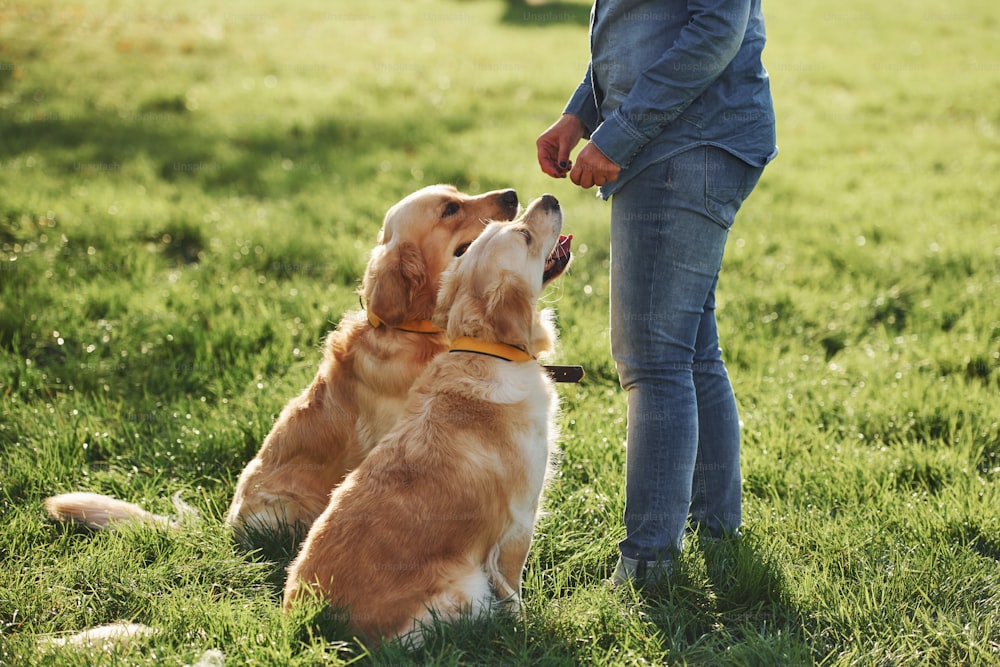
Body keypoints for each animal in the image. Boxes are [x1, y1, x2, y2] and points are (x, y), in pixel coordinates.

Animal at [286, 194, 576, 648]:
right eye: (525, 236)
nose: (549, 197)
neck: (487, 351)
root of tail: (318, 629)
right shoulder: (519, 523)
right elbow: (514, 589)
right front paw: (526, 625)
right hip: (467, 589)